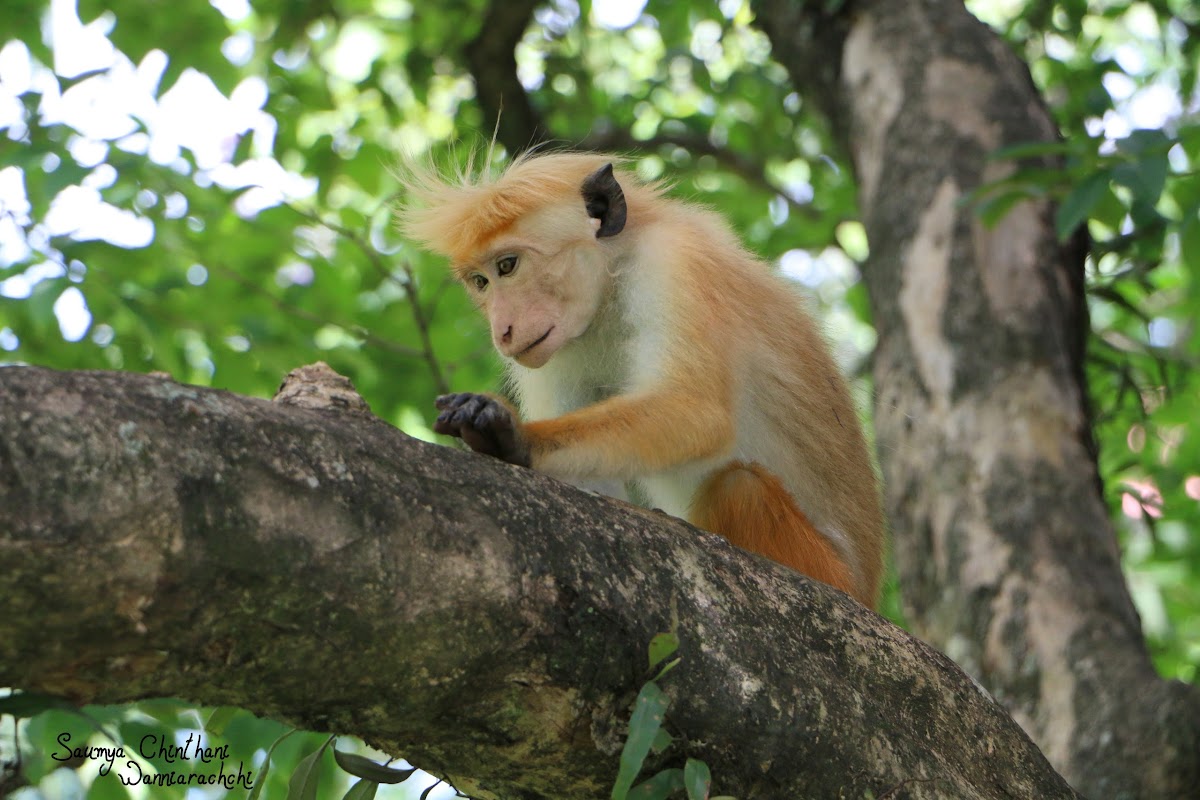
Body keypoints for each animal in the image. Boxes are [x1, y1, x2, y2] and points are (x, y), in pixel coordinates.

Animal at [398, 151, 888, 606]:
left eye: (507, 266)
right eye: (480, 282)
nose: (502, 331)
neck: (614, 279)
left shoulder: (676, 261)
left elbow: (697, 412)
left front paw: (515, 436)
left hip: (827, 572)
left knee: (739, 487)